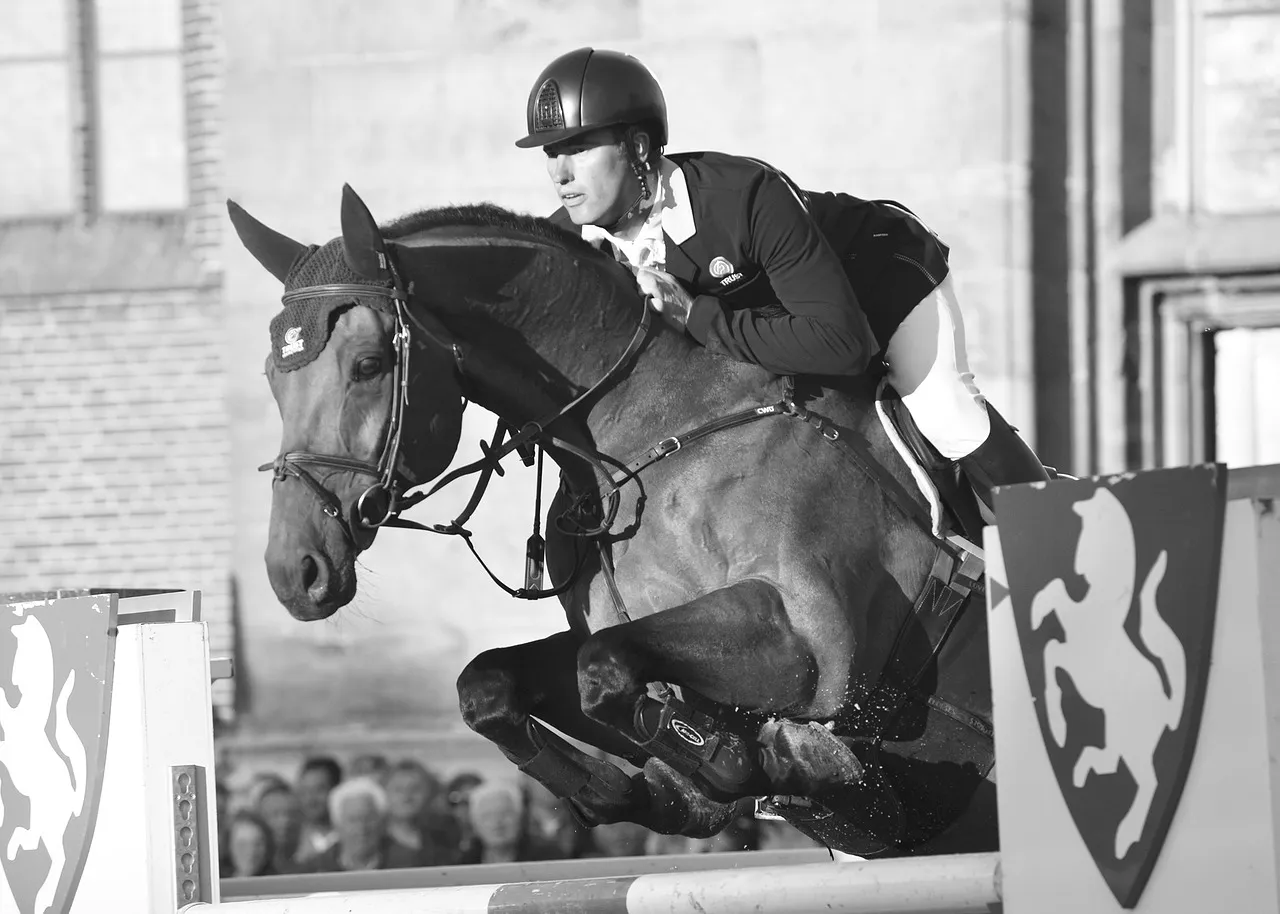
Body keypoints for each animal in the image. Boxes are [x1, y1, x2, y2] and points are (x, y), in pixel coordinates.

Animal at [228, 184, 998, 857]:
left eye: (366, 364)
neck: (652, 431)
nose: (295, 572)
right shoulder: (634, 636)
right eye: (269, 377)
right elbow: (497, 683)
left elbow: (604, 672)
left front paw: (767, 760)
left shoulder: (815, 650)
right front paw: (651, 788)